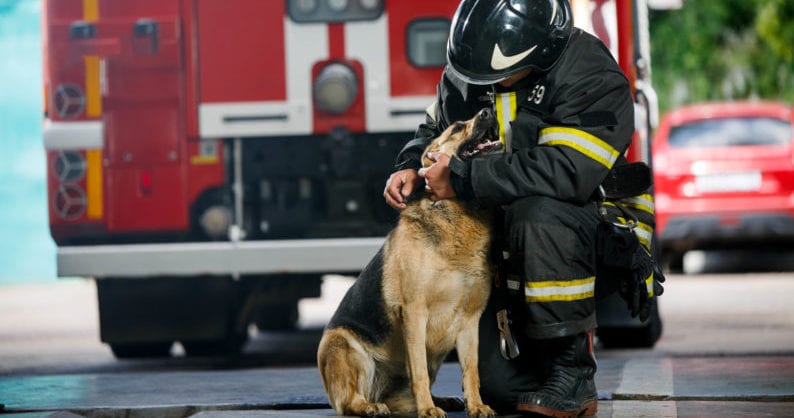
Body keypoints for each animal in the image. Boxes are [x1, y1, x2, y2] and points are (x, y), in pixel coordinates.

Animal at [318, 108, 498, 418]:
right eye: (457, 127)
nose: (488, 110)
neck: (457, 214)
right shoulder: (414, 313)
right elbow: (419, 371)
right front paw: (428, 410)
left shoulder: (469, 320)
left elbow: (471, 370)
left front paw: (476, 405)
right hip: (342, 345)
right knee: (349, 401)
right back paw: (372, 406)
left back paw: (439, 400)